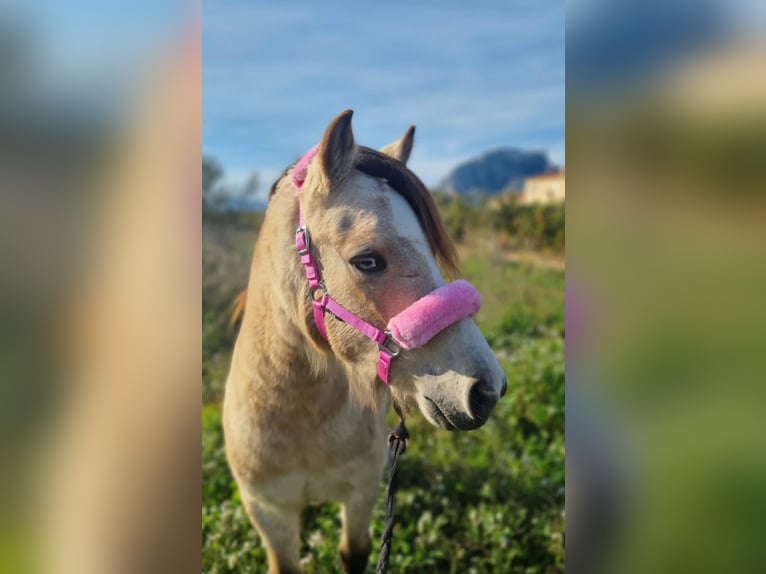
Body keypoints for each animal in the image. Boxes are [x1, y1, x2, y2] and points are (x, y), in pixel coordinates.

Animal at [223, 110, 507, 574]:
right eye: (367, 260)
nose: (486, 390)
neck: (300, 415)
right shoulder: (266, 510)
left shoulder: (361, 493)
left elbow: (352, 554)